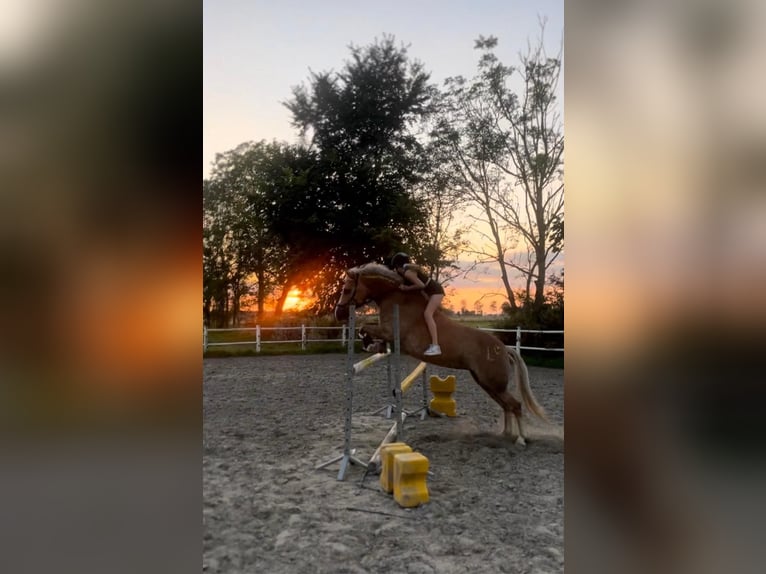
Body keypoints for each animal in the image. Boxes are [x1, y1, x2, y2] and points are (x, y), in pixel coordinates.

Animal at [338, 262, 552, 446]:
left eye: (347, 289)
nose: (338, 314)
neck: (396, 296)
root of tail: (503, 348)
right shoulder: (388, 334)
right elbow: (370, 331)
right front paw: (373, 346)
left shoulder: (391, 332)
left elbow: (365, 327)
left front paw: (367, 342)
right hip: (487, 383)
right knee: (506, 406)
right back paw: (505, 435)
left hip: (493, 383)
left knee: (515, 405)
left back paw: (521, 439)